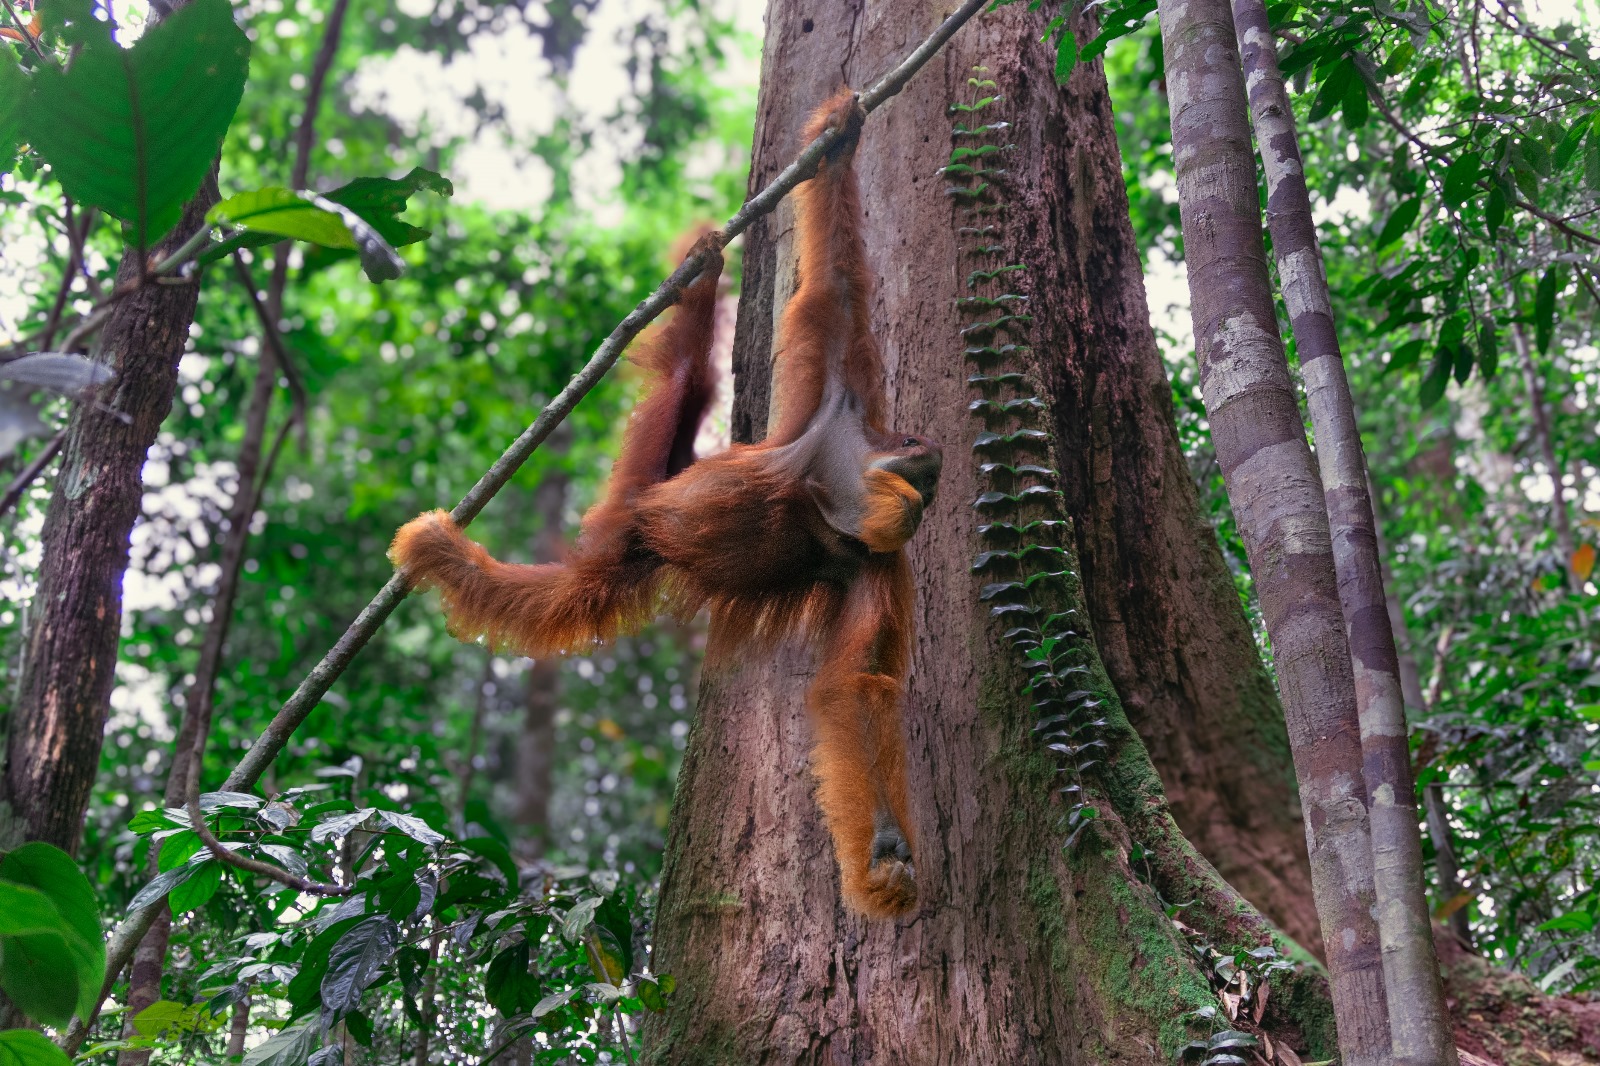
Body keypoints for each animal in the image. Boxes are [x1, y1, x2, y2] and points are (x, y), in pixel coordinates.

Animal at [391, 90, 942, 918]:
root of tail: (649, 500)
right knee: (664, 425)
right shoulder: (839, 400)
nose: (921, 500)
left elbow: (856, 687)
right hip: (643, 489)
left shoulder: (875, 569)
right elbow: (836, 282)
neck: (837, 494)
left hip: (647, 511)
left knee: (590, 569)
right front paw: (840, 137)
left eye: (928, 498)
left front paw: (885, 855)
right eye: (921, 477)